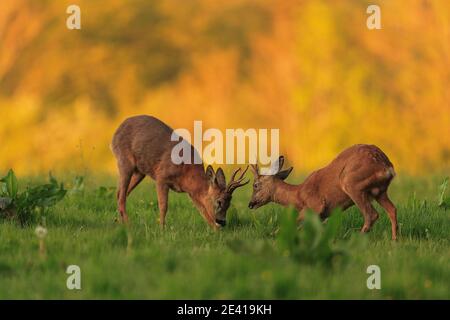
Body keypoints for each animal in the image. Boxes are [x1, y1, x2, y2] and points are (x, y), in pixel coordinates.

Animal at [110, 115, 248, 228]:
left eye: (229, 203)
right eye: (219, 201)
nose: (222, 222)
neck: (187, 173)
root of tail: (116, 132)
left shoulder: (192, 193)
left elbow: (203, 211)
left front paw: (216, 231)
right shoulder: (161, 177)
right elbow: (163, 206)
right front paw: (162, 229)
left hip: (139, 172)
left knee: (120, 194)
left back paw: (121, 223)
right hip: (124, 161)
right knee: (121, 196)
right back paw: (129, 225)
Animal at [248, 145, 400, 240]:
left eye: (255, 185)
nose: (250, 204)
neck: (298, 194)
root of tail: (386, 165)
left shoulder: (315, 206)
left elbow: (292, 225)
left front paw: (273, 235)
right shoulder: (322, 215)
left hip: (351, 183)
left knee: (371, 214)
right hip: (379, 191)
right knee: (392, 209)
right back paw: (394, 241)